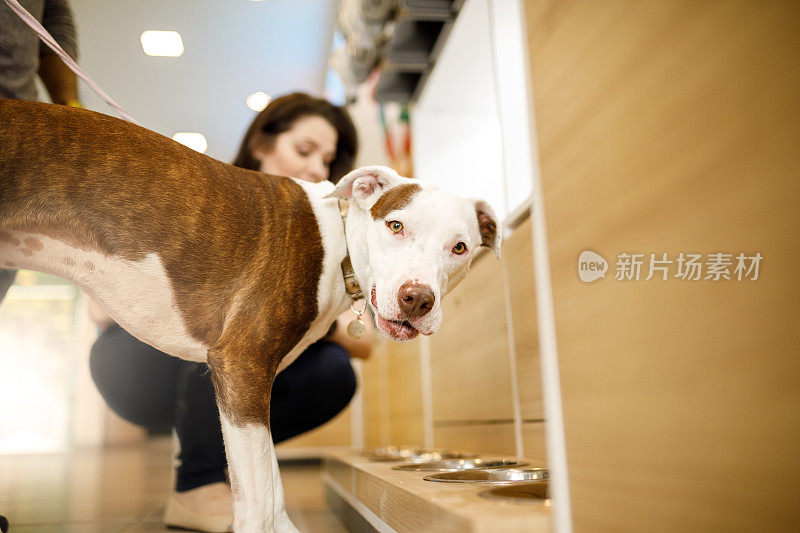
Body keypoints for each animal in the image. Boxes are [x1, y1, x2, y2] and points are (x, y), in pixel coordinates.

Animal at [0, 98, 500, 528]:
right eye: (396, 225)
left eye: (460, 247)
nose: (418, 299)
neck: (338, 237)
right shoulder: (242, 364)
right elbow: (260, 500)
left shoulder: (249, 387)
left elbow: (270, 489)